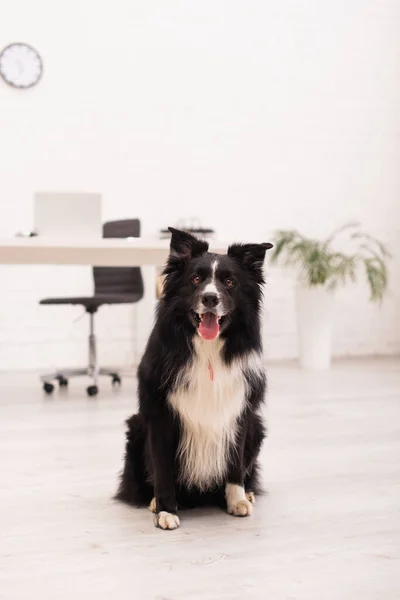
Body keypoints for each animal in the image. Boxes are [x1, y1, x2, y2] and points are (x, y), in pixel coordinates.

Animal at [115, 229, 272, 528]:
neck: (207, 351)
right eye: (196, 279)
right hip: (136, 427)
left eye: (230, 282)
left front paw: (236, 500)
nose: (210, 298)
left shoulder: (239, 413)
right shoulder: (161, 415)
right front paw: (166, 510)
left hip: (257, 427)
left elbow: (234, 464)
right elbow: (163, 468)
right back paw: (153, 501)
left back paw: (248, 493)